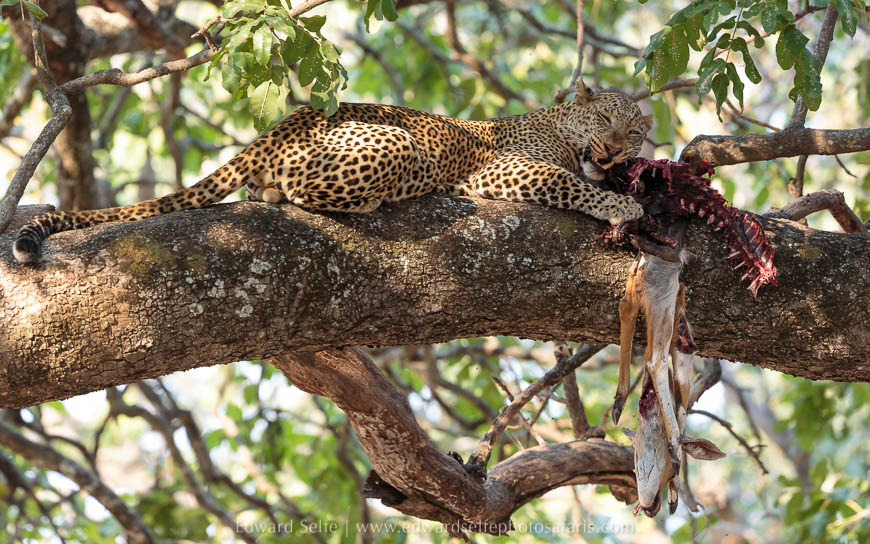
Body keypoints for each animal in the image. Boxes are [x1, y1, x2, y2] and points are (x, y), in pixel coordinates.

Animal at [13, 78, 652, 263]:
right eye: (608, 118)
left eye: (637, 132)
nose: (615, 151)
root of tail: (278, 128)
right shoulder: (505, 169)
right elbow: (568, 181)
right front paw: (624, 205)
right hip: (395, 143)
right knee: (301, 189)